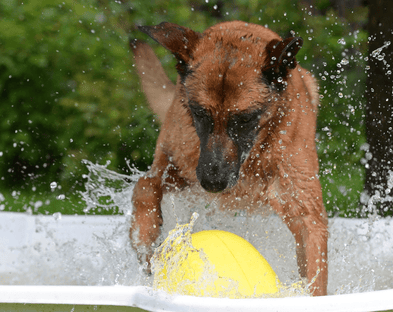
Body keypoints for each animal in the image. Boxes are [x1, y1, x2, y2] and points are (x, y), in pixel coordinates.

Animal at [129, 21, 328, 294]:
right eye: (200, 113)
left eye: (244, 119)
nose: (213, 183)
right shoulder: (176, 168)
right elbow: (145, 186)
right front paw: (144, 238)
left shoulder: (306, 213)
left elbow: (314, 271)